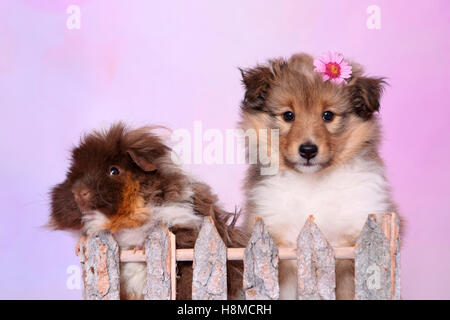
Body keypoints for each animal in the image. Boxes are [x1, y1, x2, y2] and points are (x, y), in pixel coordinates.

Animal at [241, 53, 400, 300]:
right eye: (288, 115)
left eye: (328, 115)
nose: (308, 150)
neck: (312, 184)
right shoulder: (276, 243)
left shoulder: (350, 247)